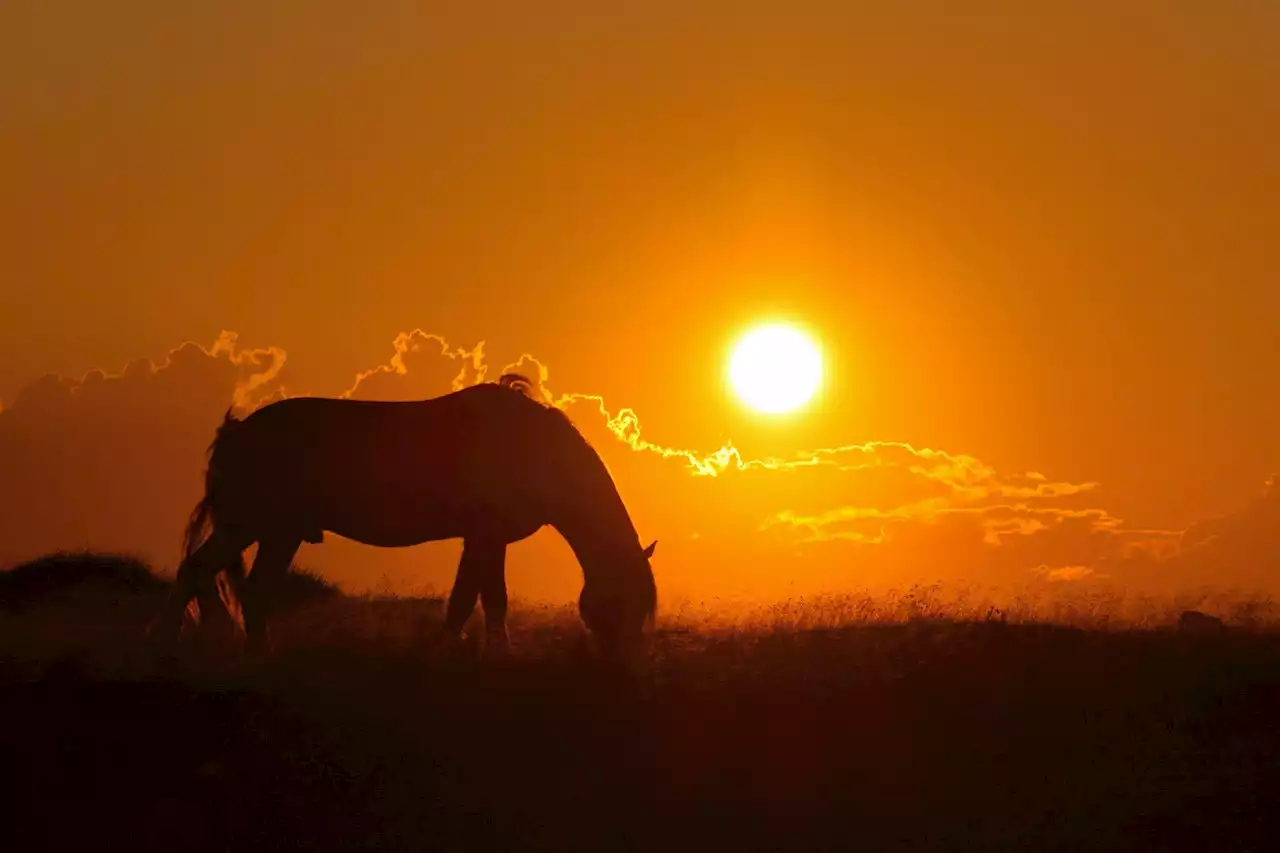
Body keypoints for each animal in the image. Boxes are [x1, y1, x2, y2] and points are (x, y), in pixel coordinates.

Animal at [149, 371, 660, 655]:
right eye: (625, 601)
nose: (623, 660)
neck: (535, 449)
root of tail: (237, 431)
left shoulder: (483, 539)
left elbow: (475, 598)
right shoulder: (485, 535)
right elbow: (481, 599)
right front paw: (482, 653)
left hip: (267, 530)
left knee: (220, 579)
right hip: (259, 527)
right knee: (219, 578)